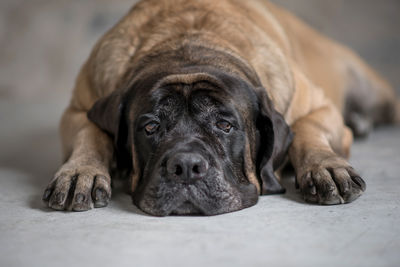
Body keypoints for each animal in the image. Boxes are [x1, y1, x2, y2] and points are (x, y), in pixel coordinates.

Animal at [42, 0, 398, 217]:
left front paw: (326, 167)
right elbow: (91, 134)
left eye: (225, 126)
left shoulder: (319, 107)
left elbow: (306, 130)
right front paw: (81, 173)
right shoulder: (79, 108)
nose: (185, 167)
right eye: (151, 127)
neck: (188, 44)